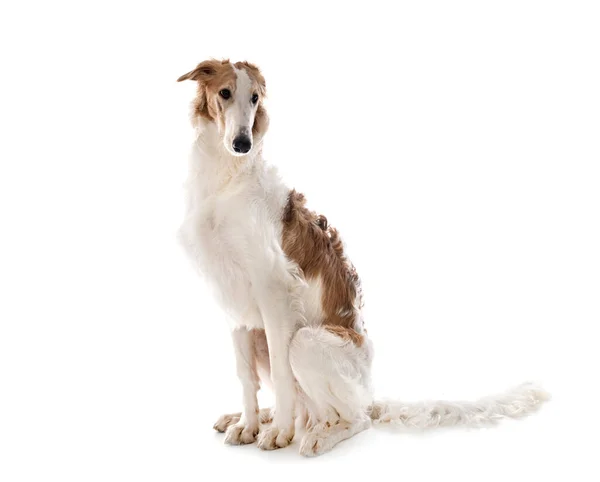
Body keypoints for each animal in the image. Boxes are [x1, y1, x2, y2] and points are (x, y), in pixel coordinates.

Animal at [175, 59, 548, 456]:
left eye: (256, 98)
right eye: (224, 93)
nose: (242, 144)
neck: (227, 180)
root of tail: (370, 397)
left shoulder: (273, 293)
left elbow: (280, 376)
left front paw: (278, 433)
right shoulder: (237, 307)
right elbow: (245, 378)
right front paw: (248, 425)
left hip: (306, 342)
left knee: (354, 419)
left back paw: (314, 435)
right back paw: (257, 418)